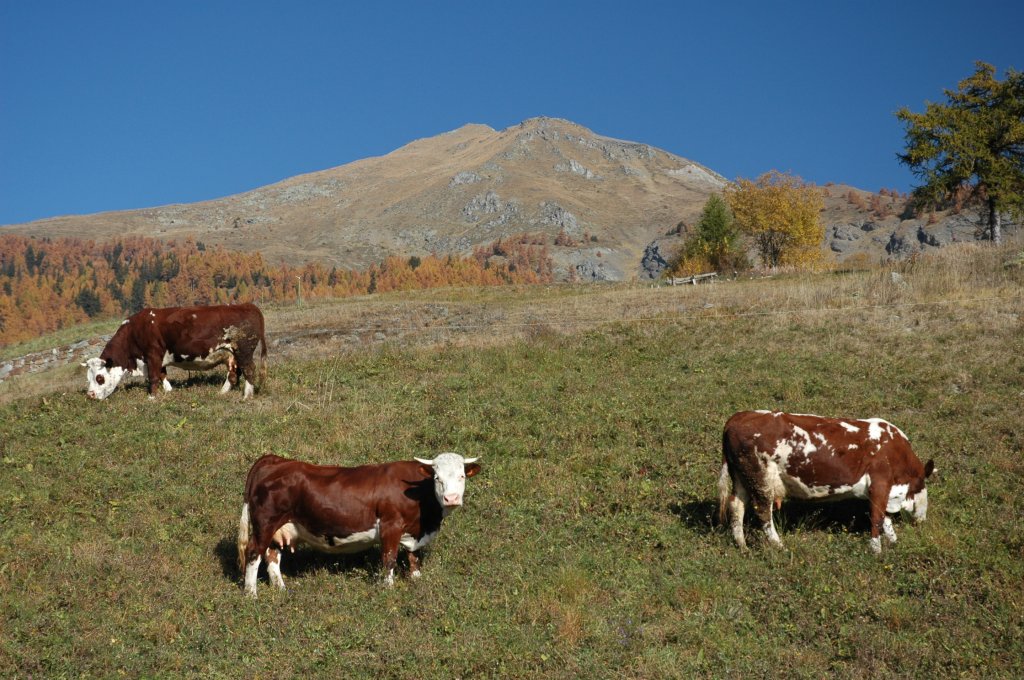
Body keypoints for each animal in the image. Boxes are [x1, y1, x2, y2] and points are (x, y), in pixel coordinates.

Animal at [82, 303, 266, 399]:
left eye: (99, 378)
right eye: (88, 377)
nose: (90, 395)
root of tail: (249, 305)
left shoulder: (153, 354)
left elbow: (154, 376)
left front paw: (152, 397)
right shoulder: (157, 358)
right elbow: (162, 374)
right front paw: (169, 391)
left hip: (244, 351)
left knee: (249, 370)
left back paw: (247, 396)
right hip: (232, 354)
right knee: (234, 374)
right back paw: (222, 392)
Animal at [237, 454, 481, 598]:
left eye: (462, 476)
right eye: (437, 478)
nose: (451, 498)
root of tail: (272, 459)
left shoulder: (416, 532)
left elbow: (414, 559)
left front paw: (416, 581)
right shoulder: (391, 526)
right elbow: (389, 559)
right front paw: (388, 589)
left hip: (278, 528)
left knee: (271, 555)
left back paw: (281, 589)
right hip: (265, 524)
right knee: (254, 553)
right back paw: (251, 595)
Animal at [716, 411, 933, 557]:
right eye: (922, 485)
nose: (922, 521)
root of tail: (739, 416)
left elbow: (884, 517)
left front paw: (893, 542)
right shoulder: (880, 482)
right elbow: (877, 517)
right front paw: (876, 550)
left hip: (742, 478)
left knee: (736, 505)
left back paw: (742, 545)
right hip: (761, 478)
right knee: (763, 511)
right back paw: (779, 545)